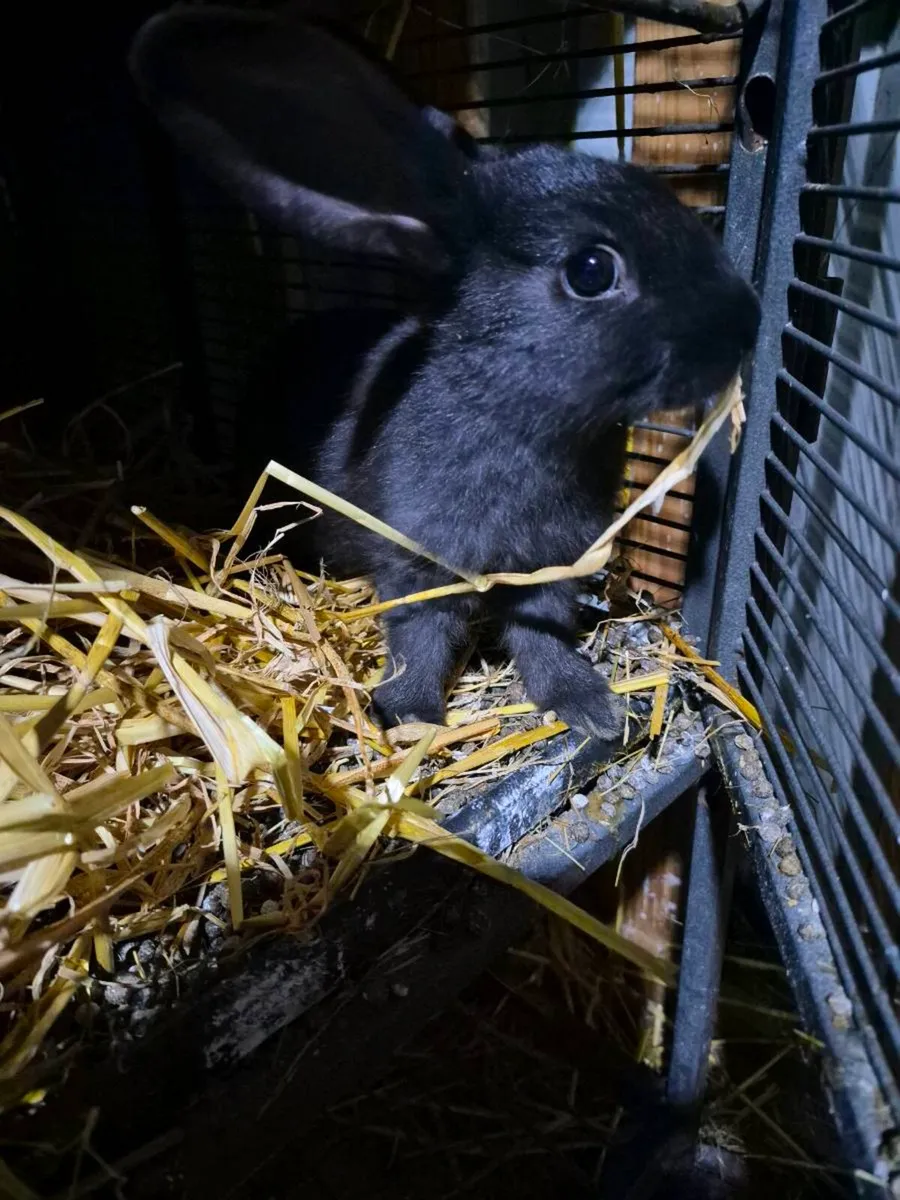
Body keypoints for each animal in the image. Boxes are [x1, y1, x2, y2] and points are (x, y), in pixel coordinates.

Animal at [129, 5, 760, 742]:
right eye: (591, 270)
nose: (746, 321)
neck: (519, 418)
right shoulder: (417, 560)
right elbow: (421, 637)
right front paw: (409, 717)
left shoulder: (549, 566)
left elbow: (542, 635)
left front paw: (587, 707)